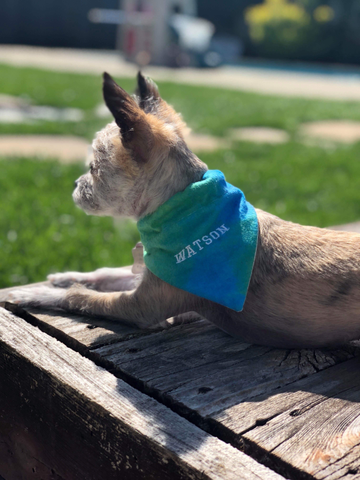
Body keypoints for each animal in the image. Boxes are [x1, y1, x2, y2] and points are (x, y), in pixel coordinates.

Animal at [5, 72, 360, 348]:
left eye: (93, 169)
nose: (76, 185)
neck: (181, 210)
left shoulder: (140, 306)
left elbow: (78, 298)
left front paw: (35, 294)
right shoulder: (152, 271)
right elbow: (105, 273)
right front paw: (64, 277)